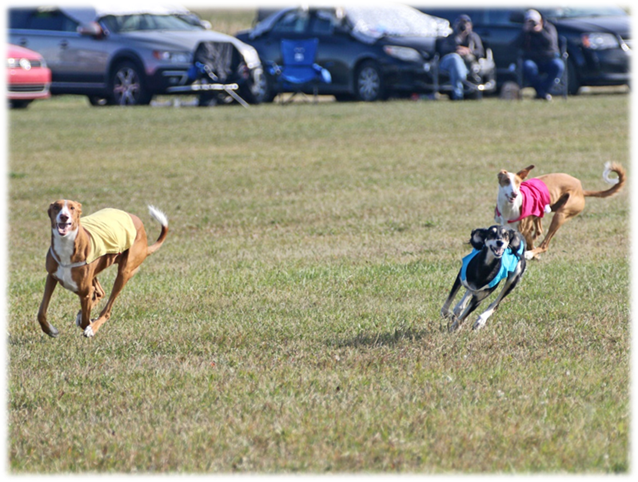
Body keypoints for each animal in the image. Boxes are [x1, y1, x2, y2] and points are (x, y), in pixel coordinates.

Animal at [36, 200, 169, 338]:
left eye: (72, 208)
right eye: (56, 207)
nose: (64, 216)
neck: (65, 246)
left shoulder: (85, 293)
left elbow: (85, 321)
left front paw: (90, 326)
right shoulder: (51, 277)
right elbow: (41, 312)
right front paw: (51, 330)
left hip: (124, 273)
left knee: (107, 309)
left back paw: (93, 325)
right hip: (95, 275)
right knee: (101, 292)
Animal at [498, 162, 628, 260]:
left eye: (518, 182)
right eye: (506, 181)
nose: (514, 194)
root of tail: (581, 190)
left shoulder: (524, 230)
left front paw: (531, 255)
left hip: (560, 215)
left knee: (545, 243)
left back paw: (531, 253)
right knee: (539, 230)